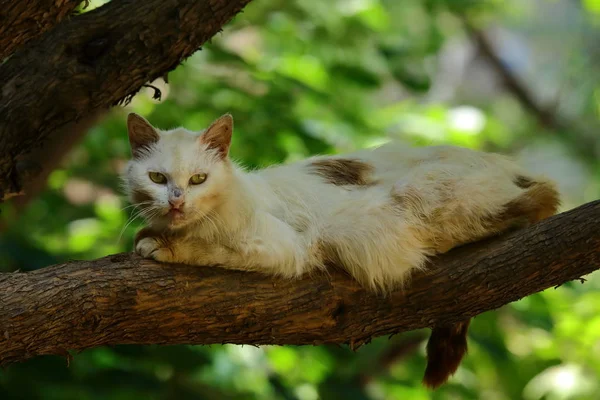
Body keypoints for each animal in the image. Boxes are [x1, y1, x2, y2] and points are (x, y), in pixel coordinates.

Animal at [123, 112, 564, 388]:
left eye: (198, 179)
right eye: (158, 178)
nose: (177, 201)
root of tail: (510, 167)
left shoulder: (283, 247)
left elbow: (207, 247)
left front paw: (161, 245)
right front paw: (152, 232)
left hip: (412, 201)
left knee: (535, 204)